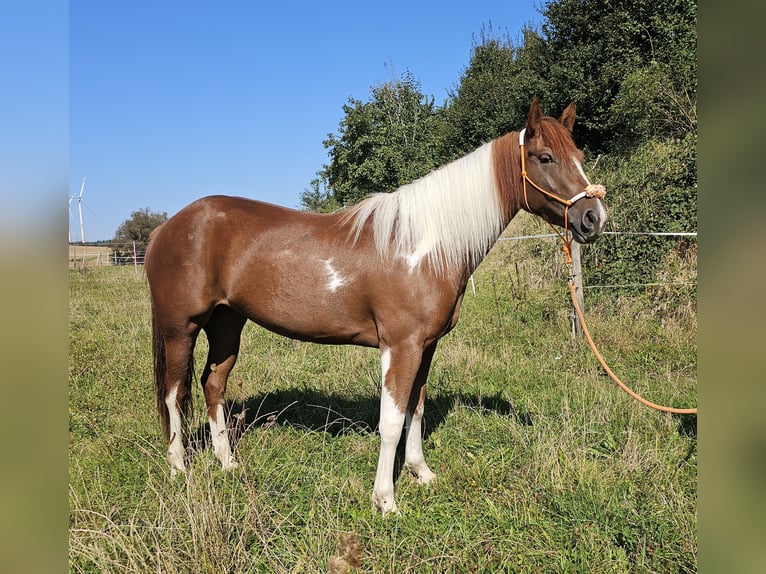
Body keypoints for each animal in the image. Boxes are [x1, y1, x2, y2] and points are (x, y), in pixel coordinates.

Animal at [147, 97, 608, 516]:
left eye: (580, 157)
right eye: (545, 157)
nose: (593, 218)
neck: (426, 244)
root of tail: (166, 229)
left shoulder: (426, 346)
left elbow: (416, 410)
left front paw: (421, 473)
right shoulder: (400, 346)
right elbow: (390, 420)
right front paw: (385, 500)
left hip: (228, 323)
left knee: (212, 384)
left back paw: (227, 463)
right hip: (180, 328)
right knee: (174, 393)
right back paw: (179, 468)